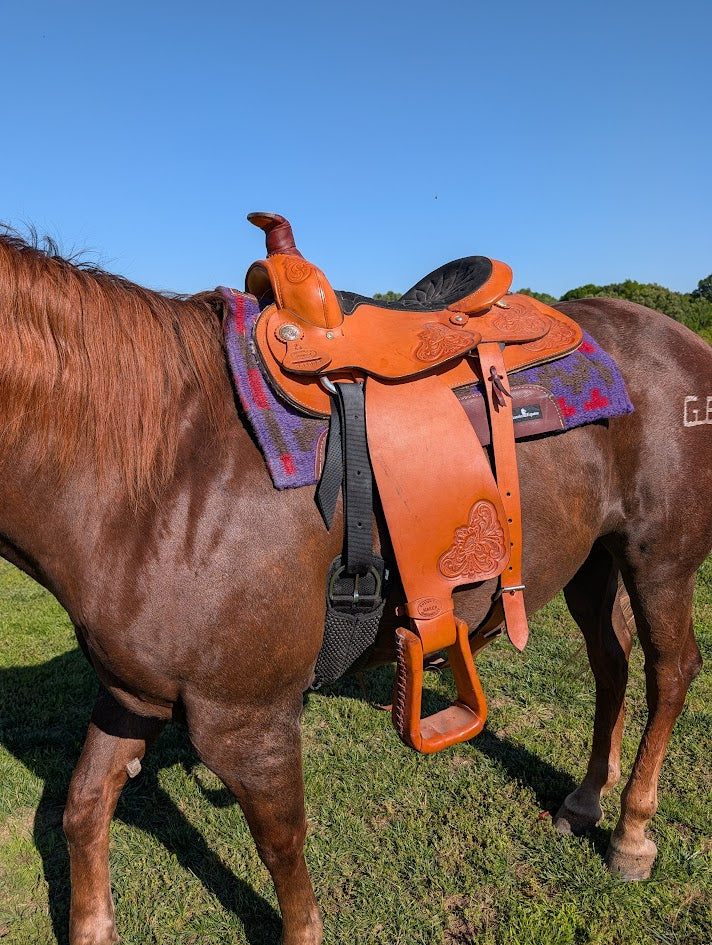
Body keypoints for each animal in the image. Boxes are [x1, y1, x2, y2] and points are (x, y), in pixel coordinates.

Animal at [0, 229, 709, 945]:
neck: (164, 476)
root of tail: (680, 336)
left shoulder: (248, 719)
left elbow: (281, 848)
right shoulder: (132, 694)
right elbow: (83, 807)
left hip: (659, 560)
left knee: (671, 670)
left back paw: (632, 835)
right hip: (592, 560)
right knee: (611, 665)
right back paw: (587, 799)